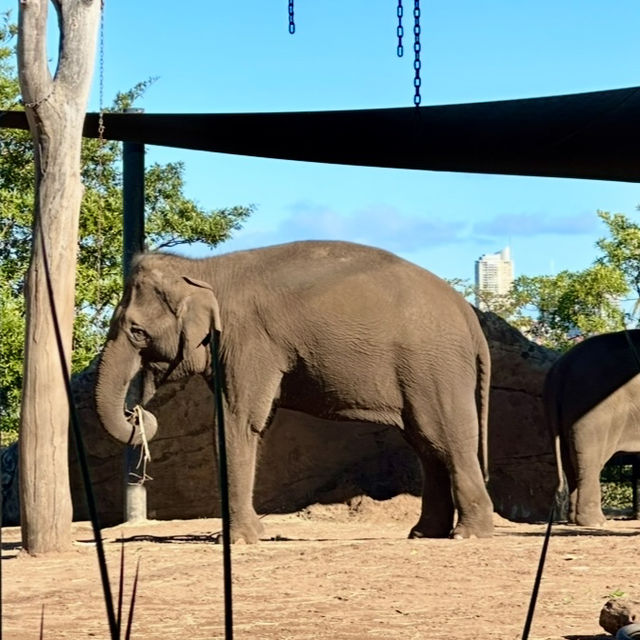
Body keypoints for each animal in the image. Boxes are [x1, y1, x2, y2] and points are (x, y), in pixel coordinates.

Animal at [95, 242, 496, 544]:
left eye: (136, 331)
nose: (140, 415)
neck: (204, 270)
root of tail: (470, 317)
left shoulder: (247, 341)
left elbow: (238, 421)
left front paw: (238, 541)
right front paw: (255, 535)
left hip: (435, 367)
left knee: (446, 438)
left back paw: (468, 535)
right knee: (427, 445)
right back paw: (425, 534)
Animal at [544, 330, 640, 524]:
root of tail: (561, 367)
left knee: (568, 462)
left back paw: (574, 520)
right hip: (593, 410)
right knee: (590, 460)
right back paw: (595, 521)